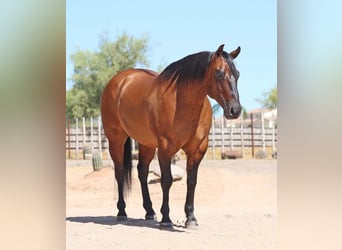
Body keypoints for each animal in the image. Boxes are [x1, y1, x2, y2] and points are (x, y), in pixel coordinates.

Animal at [100, 44, 242, 229]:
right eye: (218, 73)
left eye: (237, 74)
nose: (235, 110)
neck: (182, 103)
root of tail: (119, 80)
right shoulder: (165, 149)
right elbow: (166, 181)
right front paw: (166, 218)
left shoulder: (197, 150)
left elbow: (191, 181)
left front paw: (191, 218)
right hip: (116, 139)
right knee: (119, 172)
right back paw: (122, 212)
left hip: (147, 144)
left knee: (142, 172)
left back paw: (150, 211)